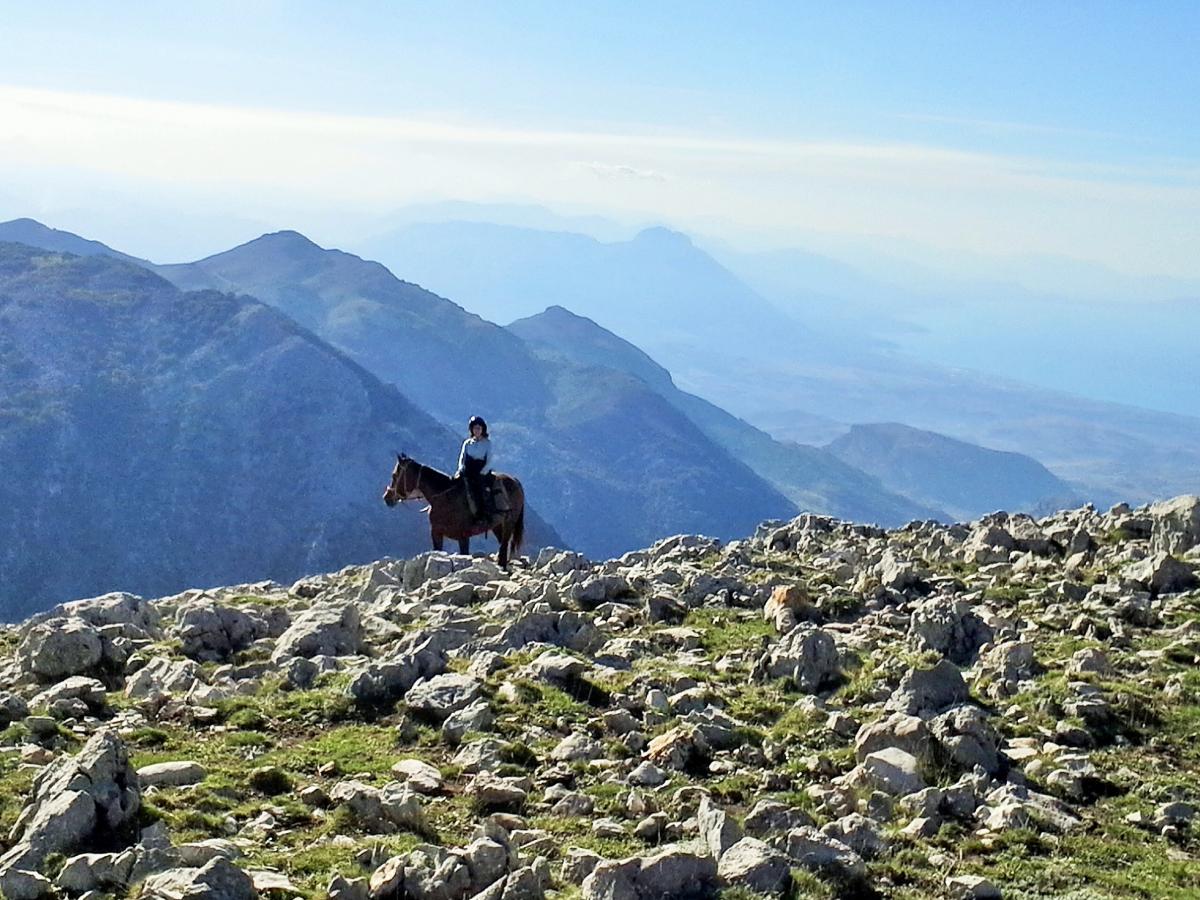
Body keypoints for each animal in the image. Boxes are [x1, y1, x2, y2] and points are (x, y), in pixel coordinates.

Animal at [382, 453, 526, 568]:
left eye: (394, 475)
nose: (386, 498)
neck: (444, 498)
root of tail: (515, 481)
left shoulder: (463, 537)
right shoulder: (436, 533)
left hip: (509, 522)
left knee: (504, 545)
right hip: (496, 525)